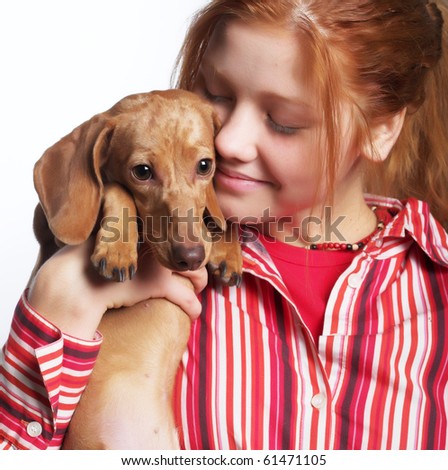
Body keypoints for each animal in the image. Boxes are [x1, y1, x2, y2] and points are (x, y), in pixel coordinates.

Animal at [32, 90, 242, 450]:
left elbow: (217, 216)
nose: (190, 257)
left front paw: (227, 247)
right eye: (142, 171)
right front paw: (117, 248)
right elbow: (114, 188)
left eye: (205, 165)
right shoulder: (53, 239)